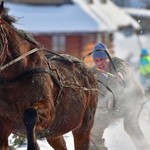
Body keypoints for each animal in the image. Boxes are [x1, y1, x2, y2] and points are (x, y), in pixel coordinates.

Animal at [0, 1, 98, 150]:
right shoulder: (3, 124)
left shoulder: (48, 111)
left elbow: (30, 114)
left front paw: (33, 145)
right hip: (55, 133)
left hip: (84, 126)